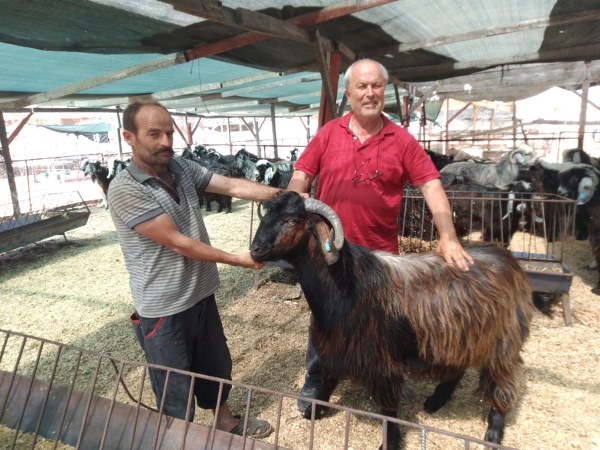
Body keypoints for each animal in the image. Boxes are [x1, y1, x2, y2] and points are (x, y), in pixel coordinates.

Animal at [250, 191, 546, 449]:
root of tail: (507, 258)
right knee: (457, 368)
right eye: (267, 215)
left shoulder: (382, 363)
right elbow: (327, 377)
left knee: (503, 383)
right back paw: (436, 401)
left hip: (502, 342)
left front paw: (389, 442)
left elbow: (388, 409)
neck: (347, 283)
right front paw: (315, 407)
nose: (255, 250)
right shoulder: (336, 347)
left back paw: (493, 432)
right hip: (458, 334)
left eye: (292, 220)